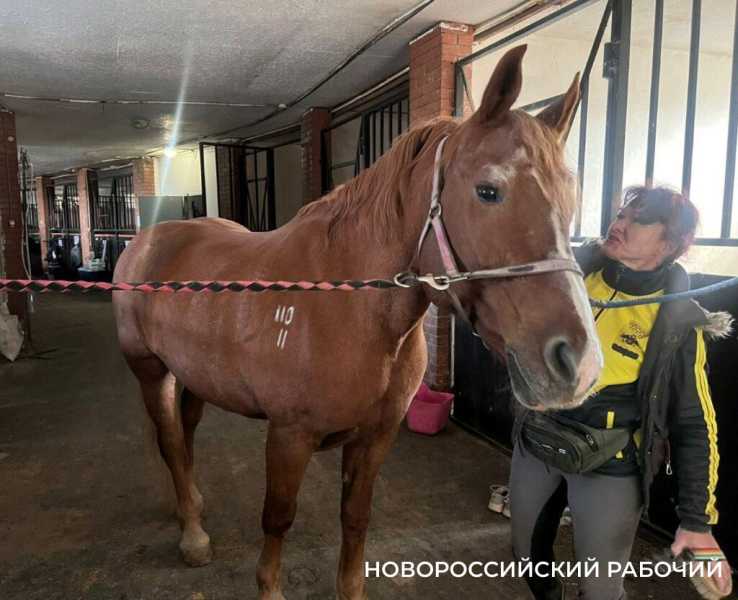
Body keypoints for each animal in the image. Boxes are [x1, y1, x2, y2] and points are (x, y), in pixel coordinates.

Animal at [112, 44, 602, 600]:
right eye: (488, 191)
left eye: (571, 194)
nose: (578, 363)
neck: (347, 307)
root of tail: (145, 241)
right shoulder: (290, 436)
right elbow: (278, 517)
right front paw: (268, 586)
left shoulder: (375, 438)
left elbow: (355, 517)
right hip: (151, 371)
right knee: (172, 442)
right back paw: (193, 534)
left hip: (194, 375)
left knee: (186, 434)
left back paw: (189, 506)